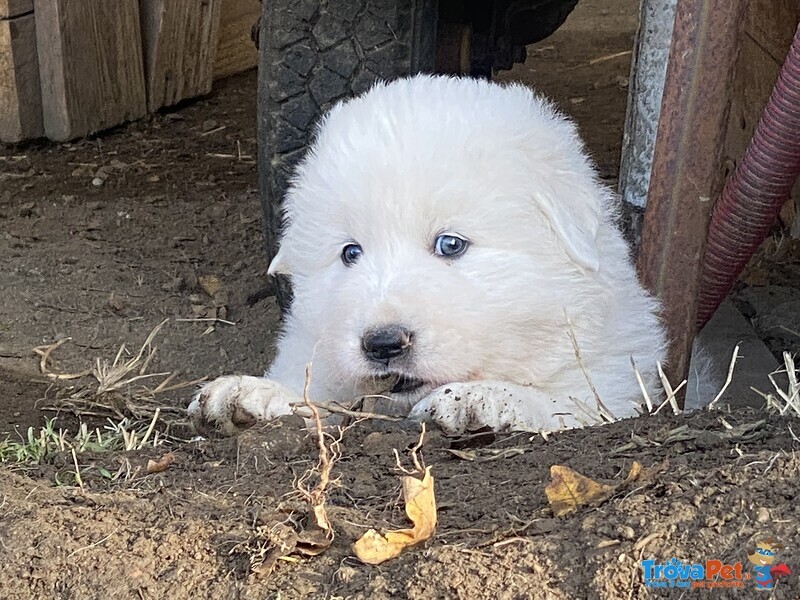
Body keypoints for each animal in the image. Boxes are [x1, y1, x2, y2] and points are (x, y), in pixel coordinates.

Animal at [189, 75, 668, 436]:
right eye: (350, 253)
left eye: (450, 244)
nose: (383, 344)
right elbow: (315, 389)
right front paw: (252, 393)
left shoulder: (612, 380)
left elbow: (565, 402)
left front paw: (484, 397)